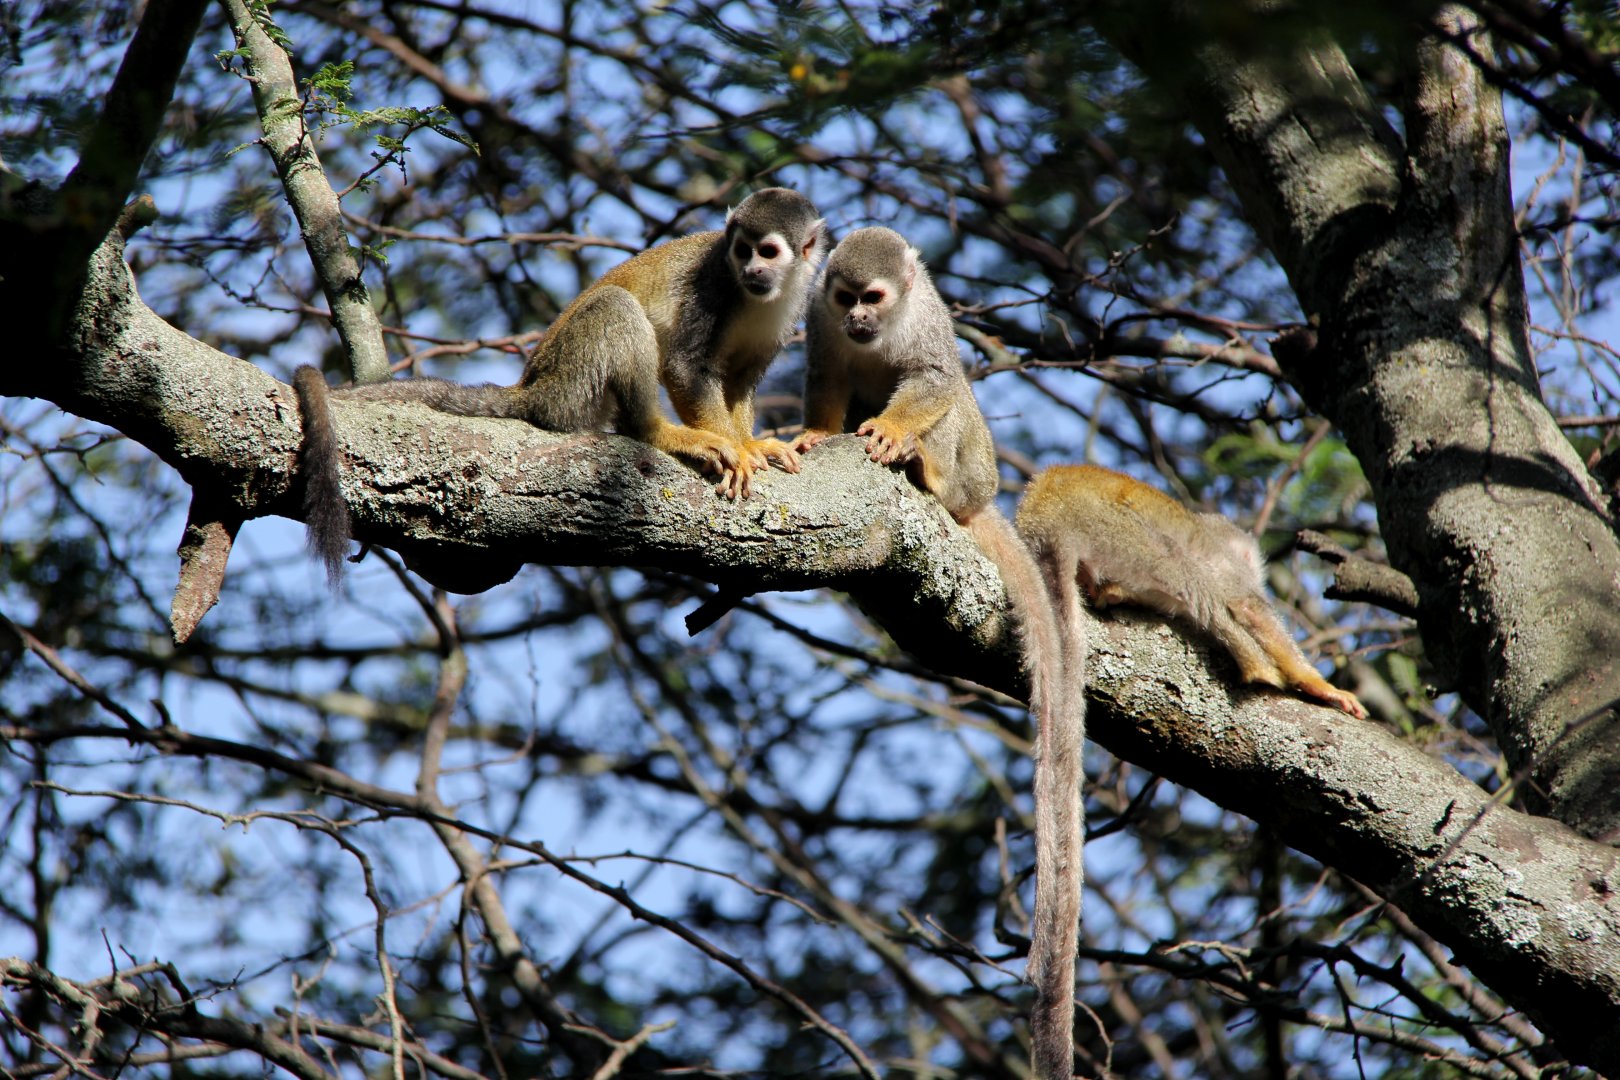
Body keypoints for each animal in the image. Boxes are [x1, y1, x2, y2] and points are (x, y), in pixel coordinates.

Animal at [292, 187, 827, 583]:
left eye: (768, 252)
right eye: (741, 251)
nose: (752, 270)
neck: (756, 294)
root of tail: (531, 385)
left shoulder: (797, 299)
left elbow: (741, 378)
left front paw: (752, 441)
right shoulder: (713, 282)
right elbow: (685, 366)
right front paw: (739, 448)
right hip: (573, 377)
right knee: (615, 307)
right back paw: (658, 433)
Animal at [794, 226, 1085, 1080]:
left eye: (875, 298)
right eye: (844, 297)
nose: (859, 319)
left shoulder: (926, 324)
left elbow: (934, 380)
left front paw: (896, 435)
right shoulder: (817, 320)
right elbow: (826, 376)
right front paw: (816, 431)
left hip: (980, 471)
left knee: (955, 404)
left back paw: (930, 475)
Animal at [1016, 463, 1367, 719]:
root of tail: (1044, 511)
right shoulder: (1232, 569)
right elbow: (1248, 606)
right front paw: (1319, 685)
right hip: (1112, 529)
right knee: (1187, 570)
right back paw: (1259, 668)